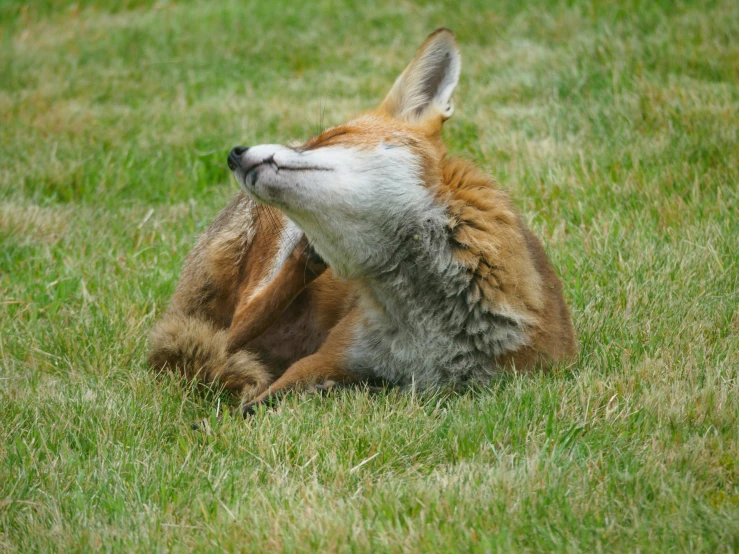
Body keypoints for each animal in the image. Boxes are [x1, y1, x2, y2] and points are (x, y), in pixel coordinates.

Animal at [149, 28, 580, 412]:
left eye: (332, 136)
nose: (234, 154)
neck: (429, 330)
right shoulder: (326, 358)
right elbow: (250, 408)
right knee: (234, 329)